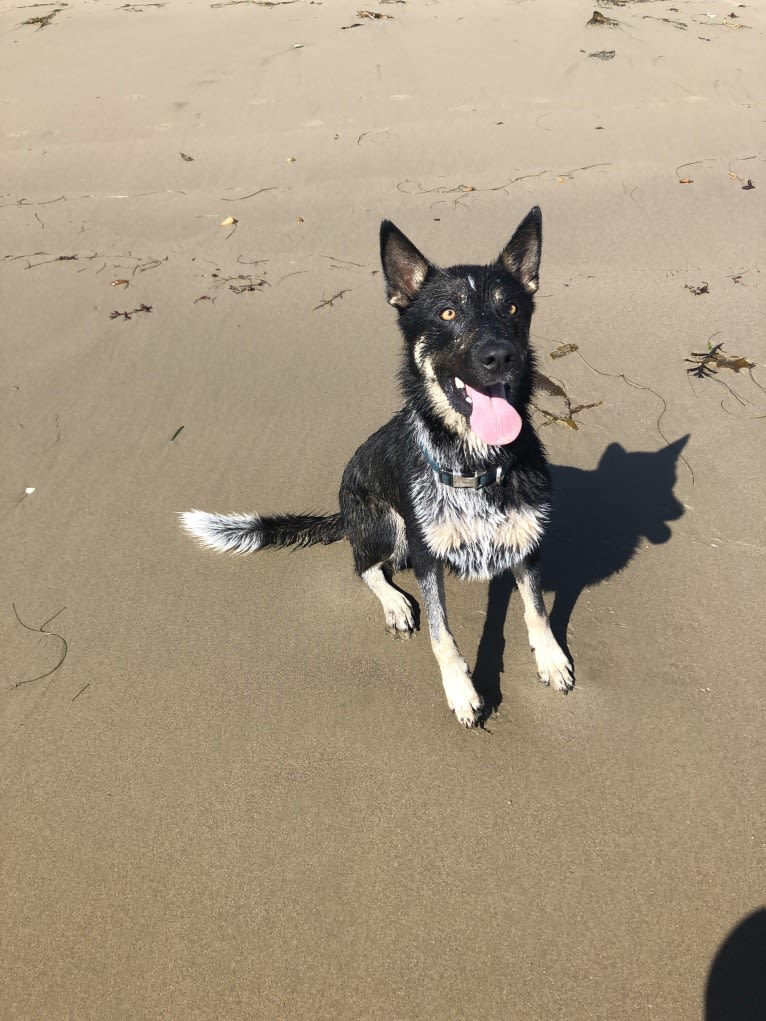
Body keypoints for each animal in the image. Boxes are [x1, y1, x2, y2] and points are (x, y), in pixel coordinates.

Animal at [181, 207, 576, 731]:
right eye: (447, 314)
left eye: (511, 309)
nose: (498, 356)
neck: (474, 463)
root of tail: (342, 511)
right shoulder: (428, 558)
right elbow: (441, 633)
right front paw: (461, 691)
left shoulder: (526, 541)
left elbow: (536, 608)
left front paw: (550, 658)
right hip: (387, 521)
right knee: (364, 565)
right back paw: (394, 602)